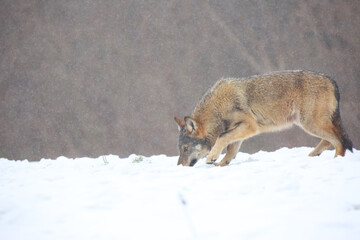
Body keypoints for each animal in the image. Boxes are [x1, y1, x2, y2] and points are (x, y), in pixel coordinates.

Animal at [174, 70, 352, 166]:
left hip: (310, 124)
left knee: (339, 142)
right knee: (330, 141)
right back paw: (313, 155)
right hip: (311, 124)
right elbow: (231, 151)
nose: (180, 166)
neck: (218, 107)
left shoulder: (250, 126)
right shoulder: (240, 130)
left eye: (186, 149)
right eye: (180, 149)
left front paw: (212, 157)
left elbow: (222, 137)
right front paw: (220, 164)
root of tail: (332, 80)